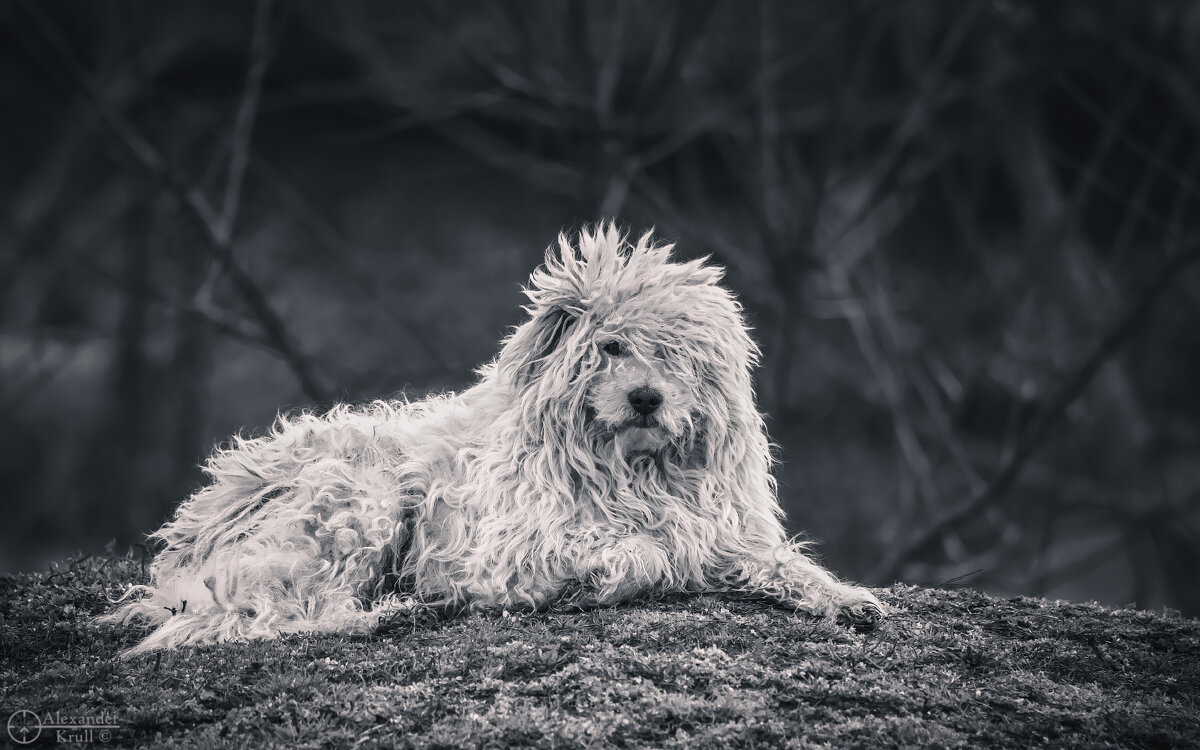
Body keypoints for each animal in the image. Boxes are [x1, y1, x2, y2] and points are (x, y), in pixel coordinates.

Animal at [103, 219, 888, 652]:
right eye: (609, 347)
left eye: (677, 356)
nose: (646, 398)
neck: (633, 471)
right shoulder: (510, 549)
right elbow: (638, 555)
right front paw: (587, 585)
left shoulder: (723, 535)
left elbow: (780, 566)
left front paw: (845, 598)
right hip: (357, 502)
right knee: (267, 611)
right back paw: (387, 612)